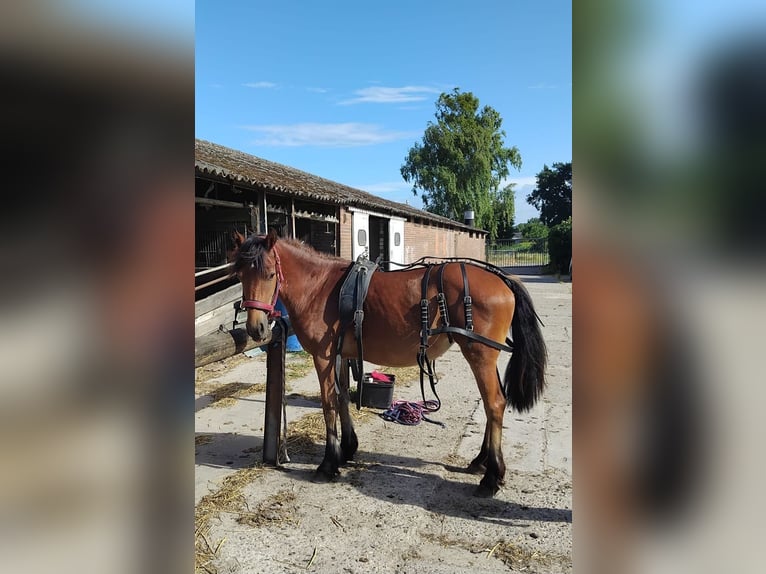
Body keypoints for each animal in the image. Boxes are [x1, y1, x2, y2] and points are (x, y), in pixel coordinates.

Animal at [231, 229, 547, 497]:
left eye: (270, 274)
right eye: (240, 276)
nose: (257, 328)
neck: (319, 287)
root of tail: (503, 279)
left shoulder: (323, 357)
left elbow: (328, 403)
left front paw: (329, 464)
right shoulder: (342, 355)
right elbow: (343, 399)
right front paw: (348, 449)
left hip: (479, 355)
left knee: (494, 403)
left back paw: (492, 477)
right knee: (492, 404)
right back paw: (481, 461)